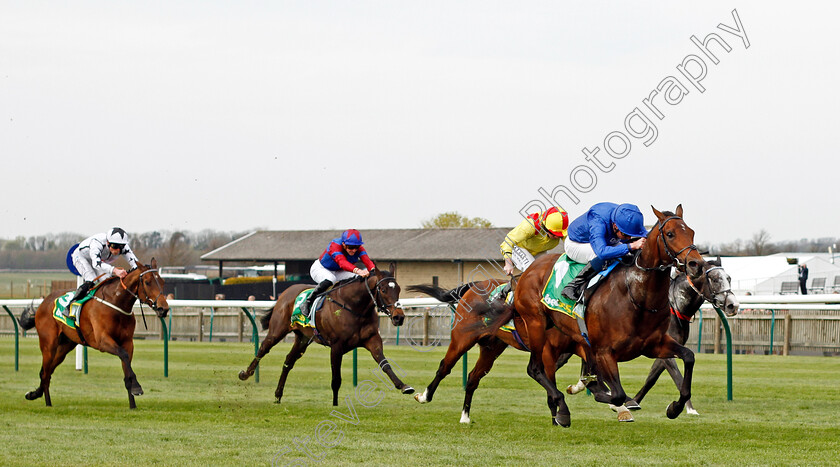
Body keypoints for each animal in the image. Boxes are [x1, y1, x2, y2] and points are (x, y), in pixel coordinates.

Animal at [18, 262, 168, 412]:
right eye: (147, 282)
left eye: (162, 281)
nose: (164, 309)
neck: (116, 302)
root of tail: (44, 302)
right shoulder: (103, 341)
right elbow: (123, 355)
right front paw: (137, 387)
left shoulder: (127, 342)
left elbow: (126, 366)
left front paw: (133, 405)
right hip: (49, 345)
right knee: (45, 373)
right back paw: (48, 403)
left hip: (64, 347)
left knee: (47, 372)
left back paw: (34, 394)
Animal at [238, 264, 416, 406]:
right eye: (384, 289)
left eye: (399, 289)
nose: (399, 317)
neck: (354, 306)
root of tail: (285, 293)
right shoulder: (336, 346)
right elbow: (336, 378)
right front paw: (335, 404)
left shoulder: (372, 340)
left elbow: (385, 364)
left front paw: (404, 386)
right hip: (277, 330)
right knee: (263, 348)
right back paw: (245, 374)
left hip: (302, 339)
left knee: (288, 361)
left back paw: (278, 395)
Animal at [476, 207, 704, 426]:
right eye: (670, 234)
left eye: (692, 232)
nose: (696, 264)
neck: (637, 295)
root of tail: (527, 272)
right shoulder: (604, 351)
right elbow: (617, 393)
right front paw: (599, 395)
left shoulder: (654, 344)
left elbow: (688, 357)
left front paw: (674, 408)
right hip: (535, 324)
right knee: (535, 369)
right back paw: (563, 411)